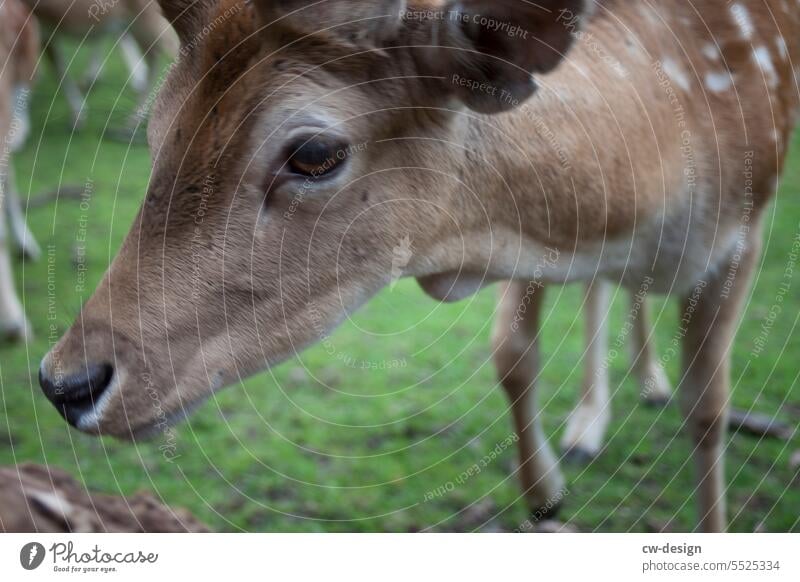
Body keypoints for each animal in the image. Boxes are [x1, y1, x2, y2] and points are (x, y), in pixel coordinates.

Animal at [39, 0, 800, 532]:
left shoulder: (749, 226)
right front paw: (546, 498)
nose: (65, 382)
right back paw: (592, 417)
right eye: (156, 128)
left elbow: (709, 410)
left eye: (314, 152)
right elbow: (511, 353)